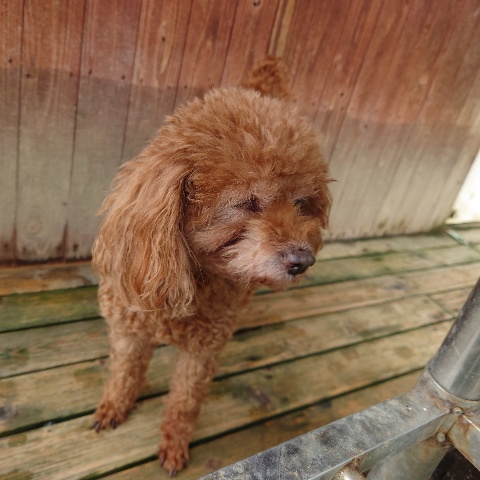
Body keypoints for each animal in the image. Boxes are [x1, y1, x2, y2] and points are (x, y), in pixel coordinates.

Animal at [91, 58, 332, 476]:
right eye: (247, 202)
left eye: (301, 203)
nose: (303, 260)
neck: (192, 275)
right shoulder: (129, 328)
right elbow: (123, 372)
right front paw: (113, 407)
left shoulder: (201, 352)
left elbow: (185, 401)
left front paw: (174, 445)